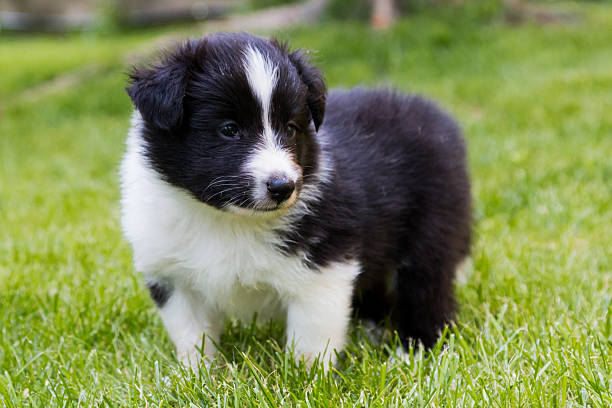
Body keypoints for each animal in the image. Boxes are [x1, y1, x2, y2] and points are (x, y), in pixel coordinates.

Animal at [120, 32, 474, 370]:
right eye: (229, 129)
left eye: (290, 128)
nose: (282, 187)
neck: (229, 220)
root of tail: (436, 117)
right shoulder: (171, 276)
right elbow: (192, 333)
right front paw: (196, 374)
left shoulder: (324, 265)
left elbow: (311, 334)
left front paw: (306, 376)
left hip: (433, 225)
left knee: (426, 288)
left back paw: (413, 352)